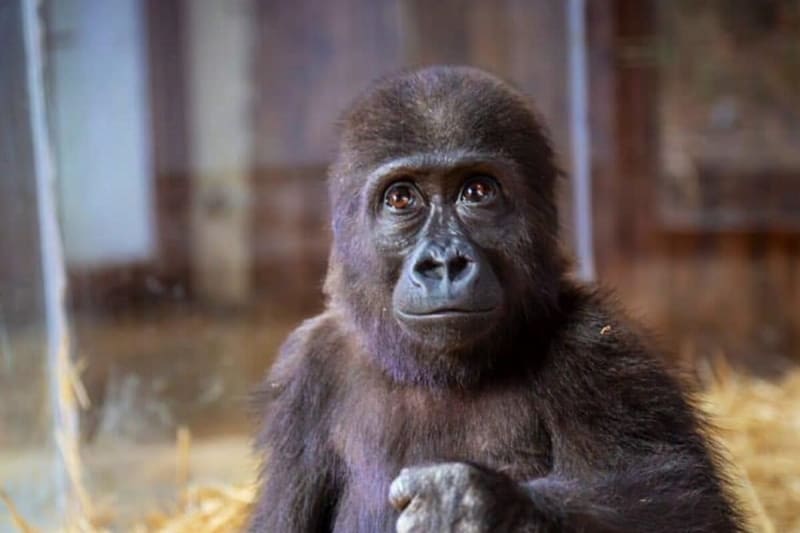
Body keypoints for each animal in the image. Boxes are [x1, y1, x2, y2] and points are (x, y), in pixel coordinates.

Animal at [249, 66, 745, 532]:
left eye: (478, 192)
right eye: (401, 198)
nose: (444, 262)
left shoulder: (600, 348)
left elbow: (689, 506)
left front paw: (476, 504)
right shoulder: (305, 370)